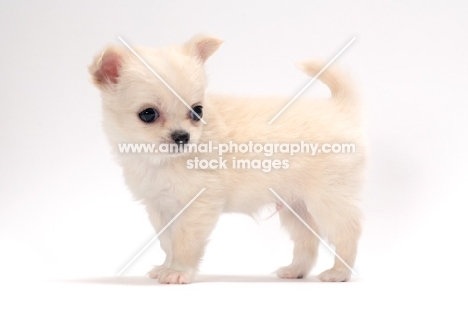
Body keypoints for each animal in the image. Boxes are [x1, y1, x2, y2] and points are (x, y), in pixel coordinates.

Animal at [88, 34, 366, 286]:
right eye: (148, 114)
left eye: (197, 111)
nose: (183, 136)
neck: (163, 162)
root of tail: (339, 110)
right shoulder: (160, 207)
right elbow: (167, 242)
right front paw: (166, 267)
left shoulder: (198, 206)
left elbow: (184, 242)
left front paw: (178, 271)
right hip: (295, 206)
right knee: (308, 239)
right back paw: (296, 270)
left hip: (328, 200)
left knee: (347, 233)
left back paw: (339, 273)